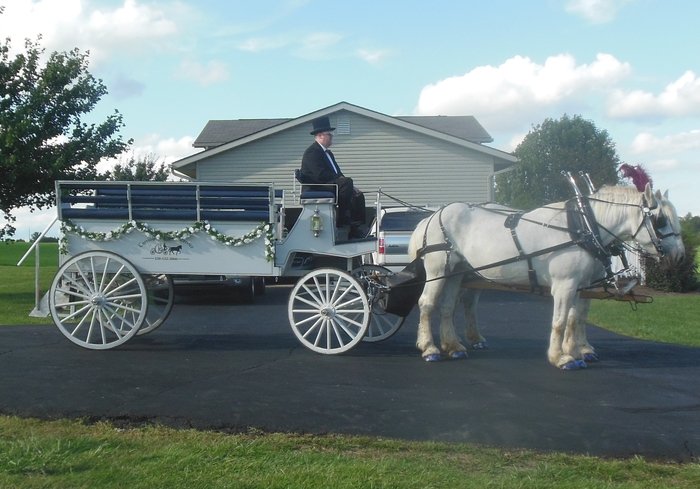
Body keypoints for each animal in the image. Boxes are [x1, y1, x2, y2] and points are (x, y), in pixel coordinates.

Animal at [408, 185, 688, 368]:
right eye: (660, 220)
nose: (680, 257)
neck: (582, 228)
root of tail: (432, 216)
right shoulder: (565, 286)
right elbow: (560, 321)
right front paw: (561, 357)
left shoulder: (582, 286)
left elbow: (576, 319)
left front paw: (578, 352)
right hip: (438, 269)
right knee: (427, 304)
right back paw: (430, 348)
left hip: (455, 273)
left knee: (448, 306)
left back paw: (454, 346)